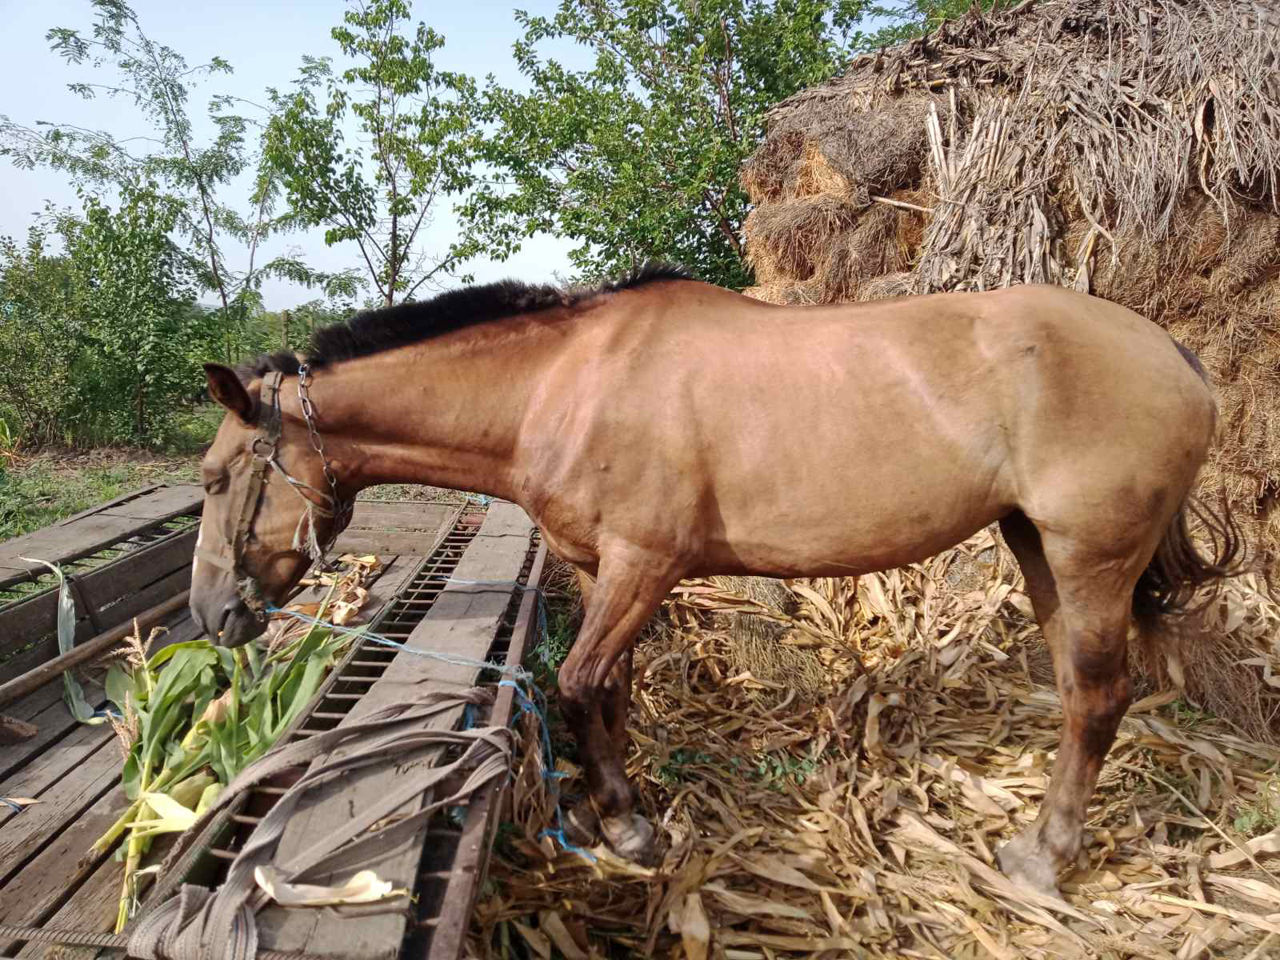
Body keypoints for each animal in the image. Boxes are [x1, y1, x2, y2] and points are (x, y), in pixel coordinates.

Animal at [189, 263, 1239, 896]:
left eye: (215, 476)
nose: (212, 613)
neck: (565, 383)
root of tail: (1173, 354)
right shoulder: (601, 570)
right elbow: (607, 691)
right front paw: (613, 818)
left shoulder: (645, 566)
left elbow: (579, 684)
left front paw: (629, 830)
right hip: (1036, 548)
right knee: (1075, 692)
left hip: (1090, 555)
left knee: (1099, 697)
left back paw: (1043, 859)